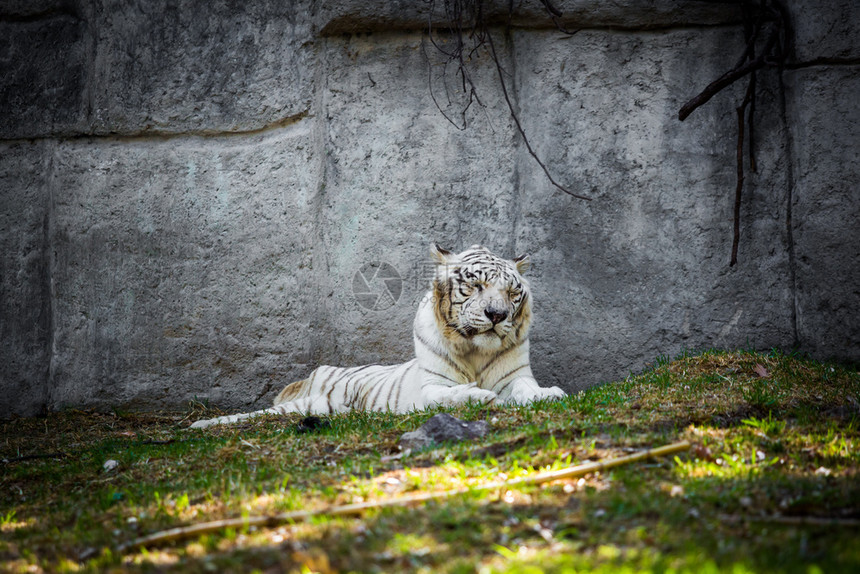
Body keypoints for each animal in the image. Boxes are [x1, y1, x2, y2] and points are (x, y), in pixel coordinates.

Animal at [188, 245, 564, 430]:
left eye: (512, 292)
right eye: (476, 285)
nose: (496, 315)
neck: (475, 352)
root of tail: (315, 372)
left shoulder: (514, 376)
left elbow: (526, 389)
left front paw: (548, 394)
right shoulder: (431, 388)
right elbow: (448, 395)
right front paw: (479, 396)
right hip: (305, 403)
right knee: (256, 415)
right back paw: (202, 424)